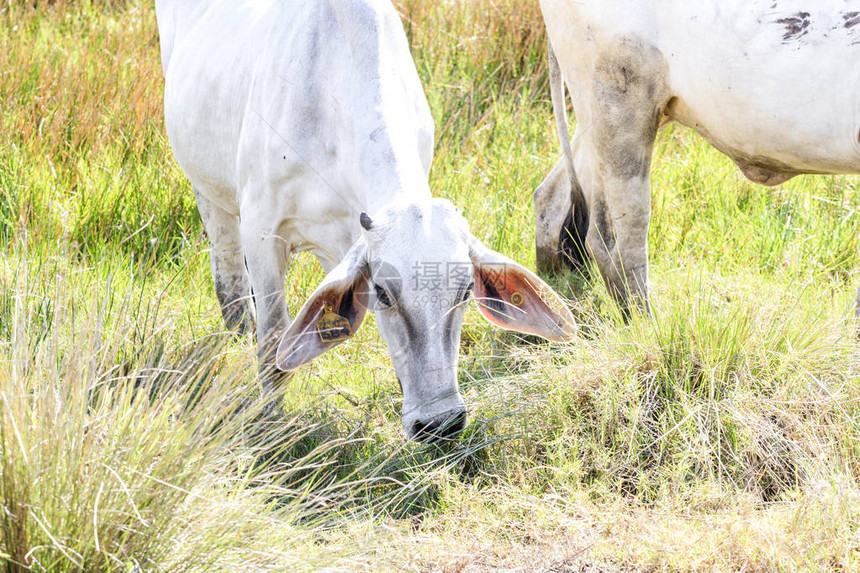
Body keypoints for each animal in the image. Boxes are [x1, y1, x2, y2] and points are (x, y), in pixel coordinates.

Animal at [160, 0, 576, 440]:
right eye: (382, 292)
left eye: (466, 292)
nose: (440, 423)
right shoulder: (262, 231)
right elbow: (274, 343)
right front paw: (270, 424)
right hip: (207, 187)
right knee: (226, 264)